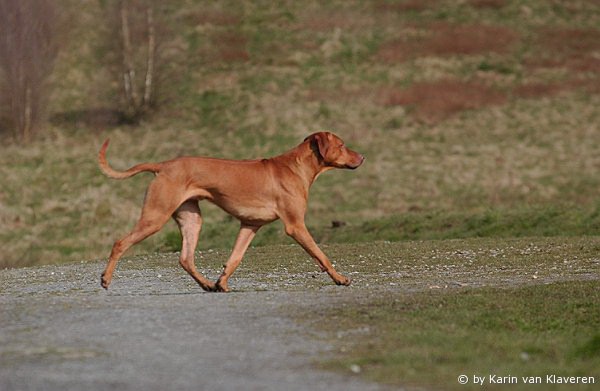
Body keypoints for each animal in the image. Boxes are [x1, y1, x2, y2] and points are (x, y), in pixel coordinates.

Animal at [97, 133, 366, 292]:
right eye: (342, 145)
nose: (363, 157)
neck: (295, 167)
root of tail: (163, 165)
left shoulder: (250, 225)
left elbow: (235, 259)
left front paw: (222, 282)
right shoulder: (295, 225)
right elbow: (321, 255)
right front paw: (340, 278)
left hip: (192, 219)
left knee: (185, 258)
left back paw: (207, 284)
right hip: (155, 216)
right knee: (120, 243)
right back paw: (105, 279)